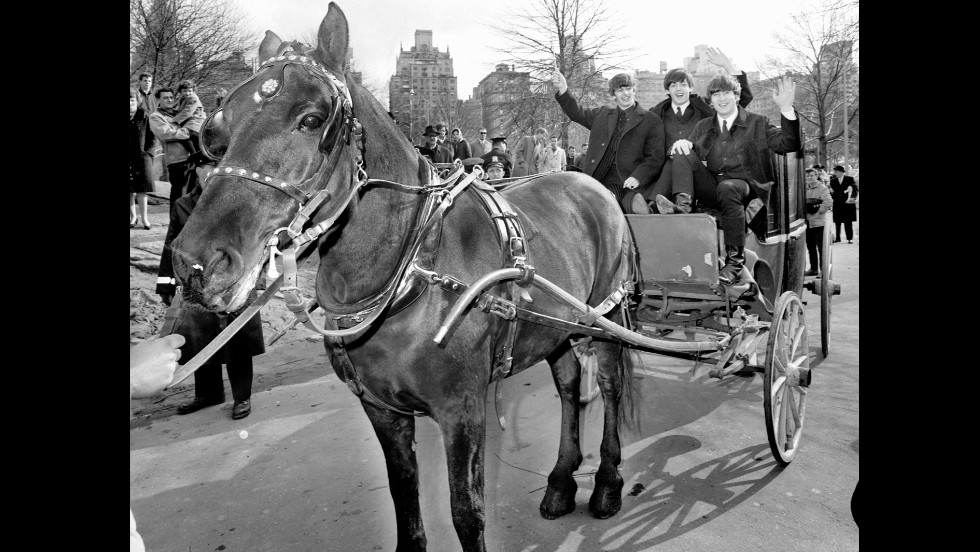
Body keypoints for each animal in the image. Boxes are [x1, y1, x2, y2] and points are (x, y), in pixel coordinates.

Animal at [168, 5, 640, 552]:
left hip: (606, 319)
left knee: (608, 386)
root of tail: (589, 180)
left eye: (312, 120)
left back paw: (607, 483)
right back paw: (562, 481)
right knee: (567, 387)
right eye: (219, 132)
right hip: (553, 329)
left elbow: (467, 512)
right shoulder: (383, 412)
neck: (412, 267)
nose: (195, 262)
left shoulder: (462, 410)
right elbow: (403, 494)